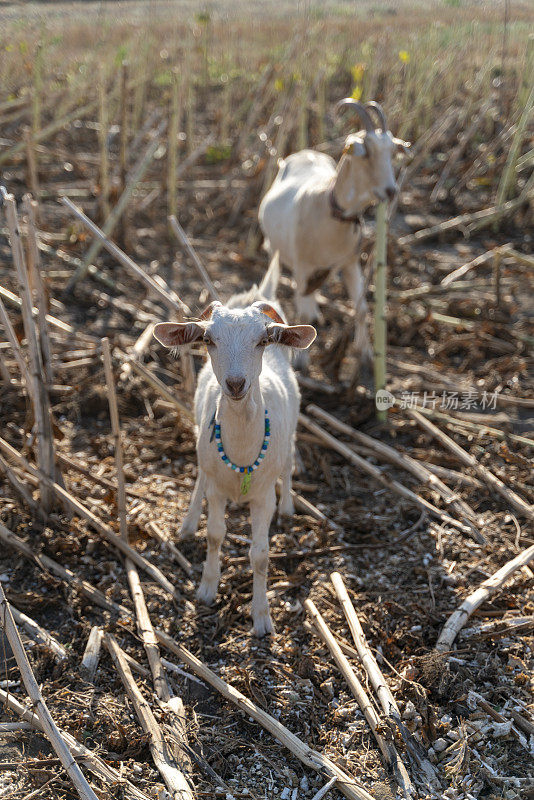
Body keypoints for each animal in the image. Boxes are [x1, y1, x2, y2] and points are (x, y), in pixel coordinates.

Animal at [153, 258, 316, 636]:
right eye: (207, 339)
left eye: (263, 340)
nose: (236, 383)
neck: (241, 451)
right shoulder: (216, 486)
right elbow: (215, 534)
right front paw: (207, 588)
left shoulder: (263, 497)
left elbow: (260, 555)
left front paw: (262, 617)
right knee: (199, 472)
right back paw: (188, 523)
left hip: (292, 426)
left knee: (288, 464)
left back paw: (289, 507)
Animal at [260, 100, 410, 372]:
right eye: (366, 152)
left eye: (391, 152)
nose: (390, 191)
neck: (327, 206)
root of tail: (306, 152)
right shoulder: (304, 266)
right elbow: (304, 315)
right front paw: (301, 362)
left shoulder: (349, 262)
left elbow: (361, 308)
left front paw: (366, 355)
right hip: (274, 248)